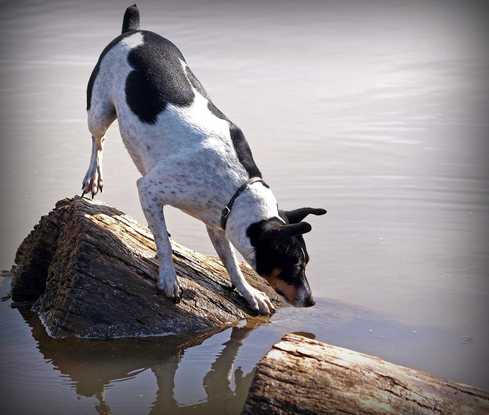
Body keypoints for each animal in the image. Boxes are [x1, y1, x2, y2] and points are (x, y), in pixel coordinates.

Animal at [82, 4, 326, 316]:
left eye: (305, 263)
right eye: (295, 263)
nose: (311, 301)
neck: (237, 188)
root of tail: (133, 30)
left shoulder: (218, 221)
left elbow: (231, 263)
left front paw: (249, 293)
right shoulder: (149, 189)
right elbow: (163, 243)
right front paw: (169, 278)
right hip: (100, 110)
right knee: (97, 140)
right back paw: (93, 176)